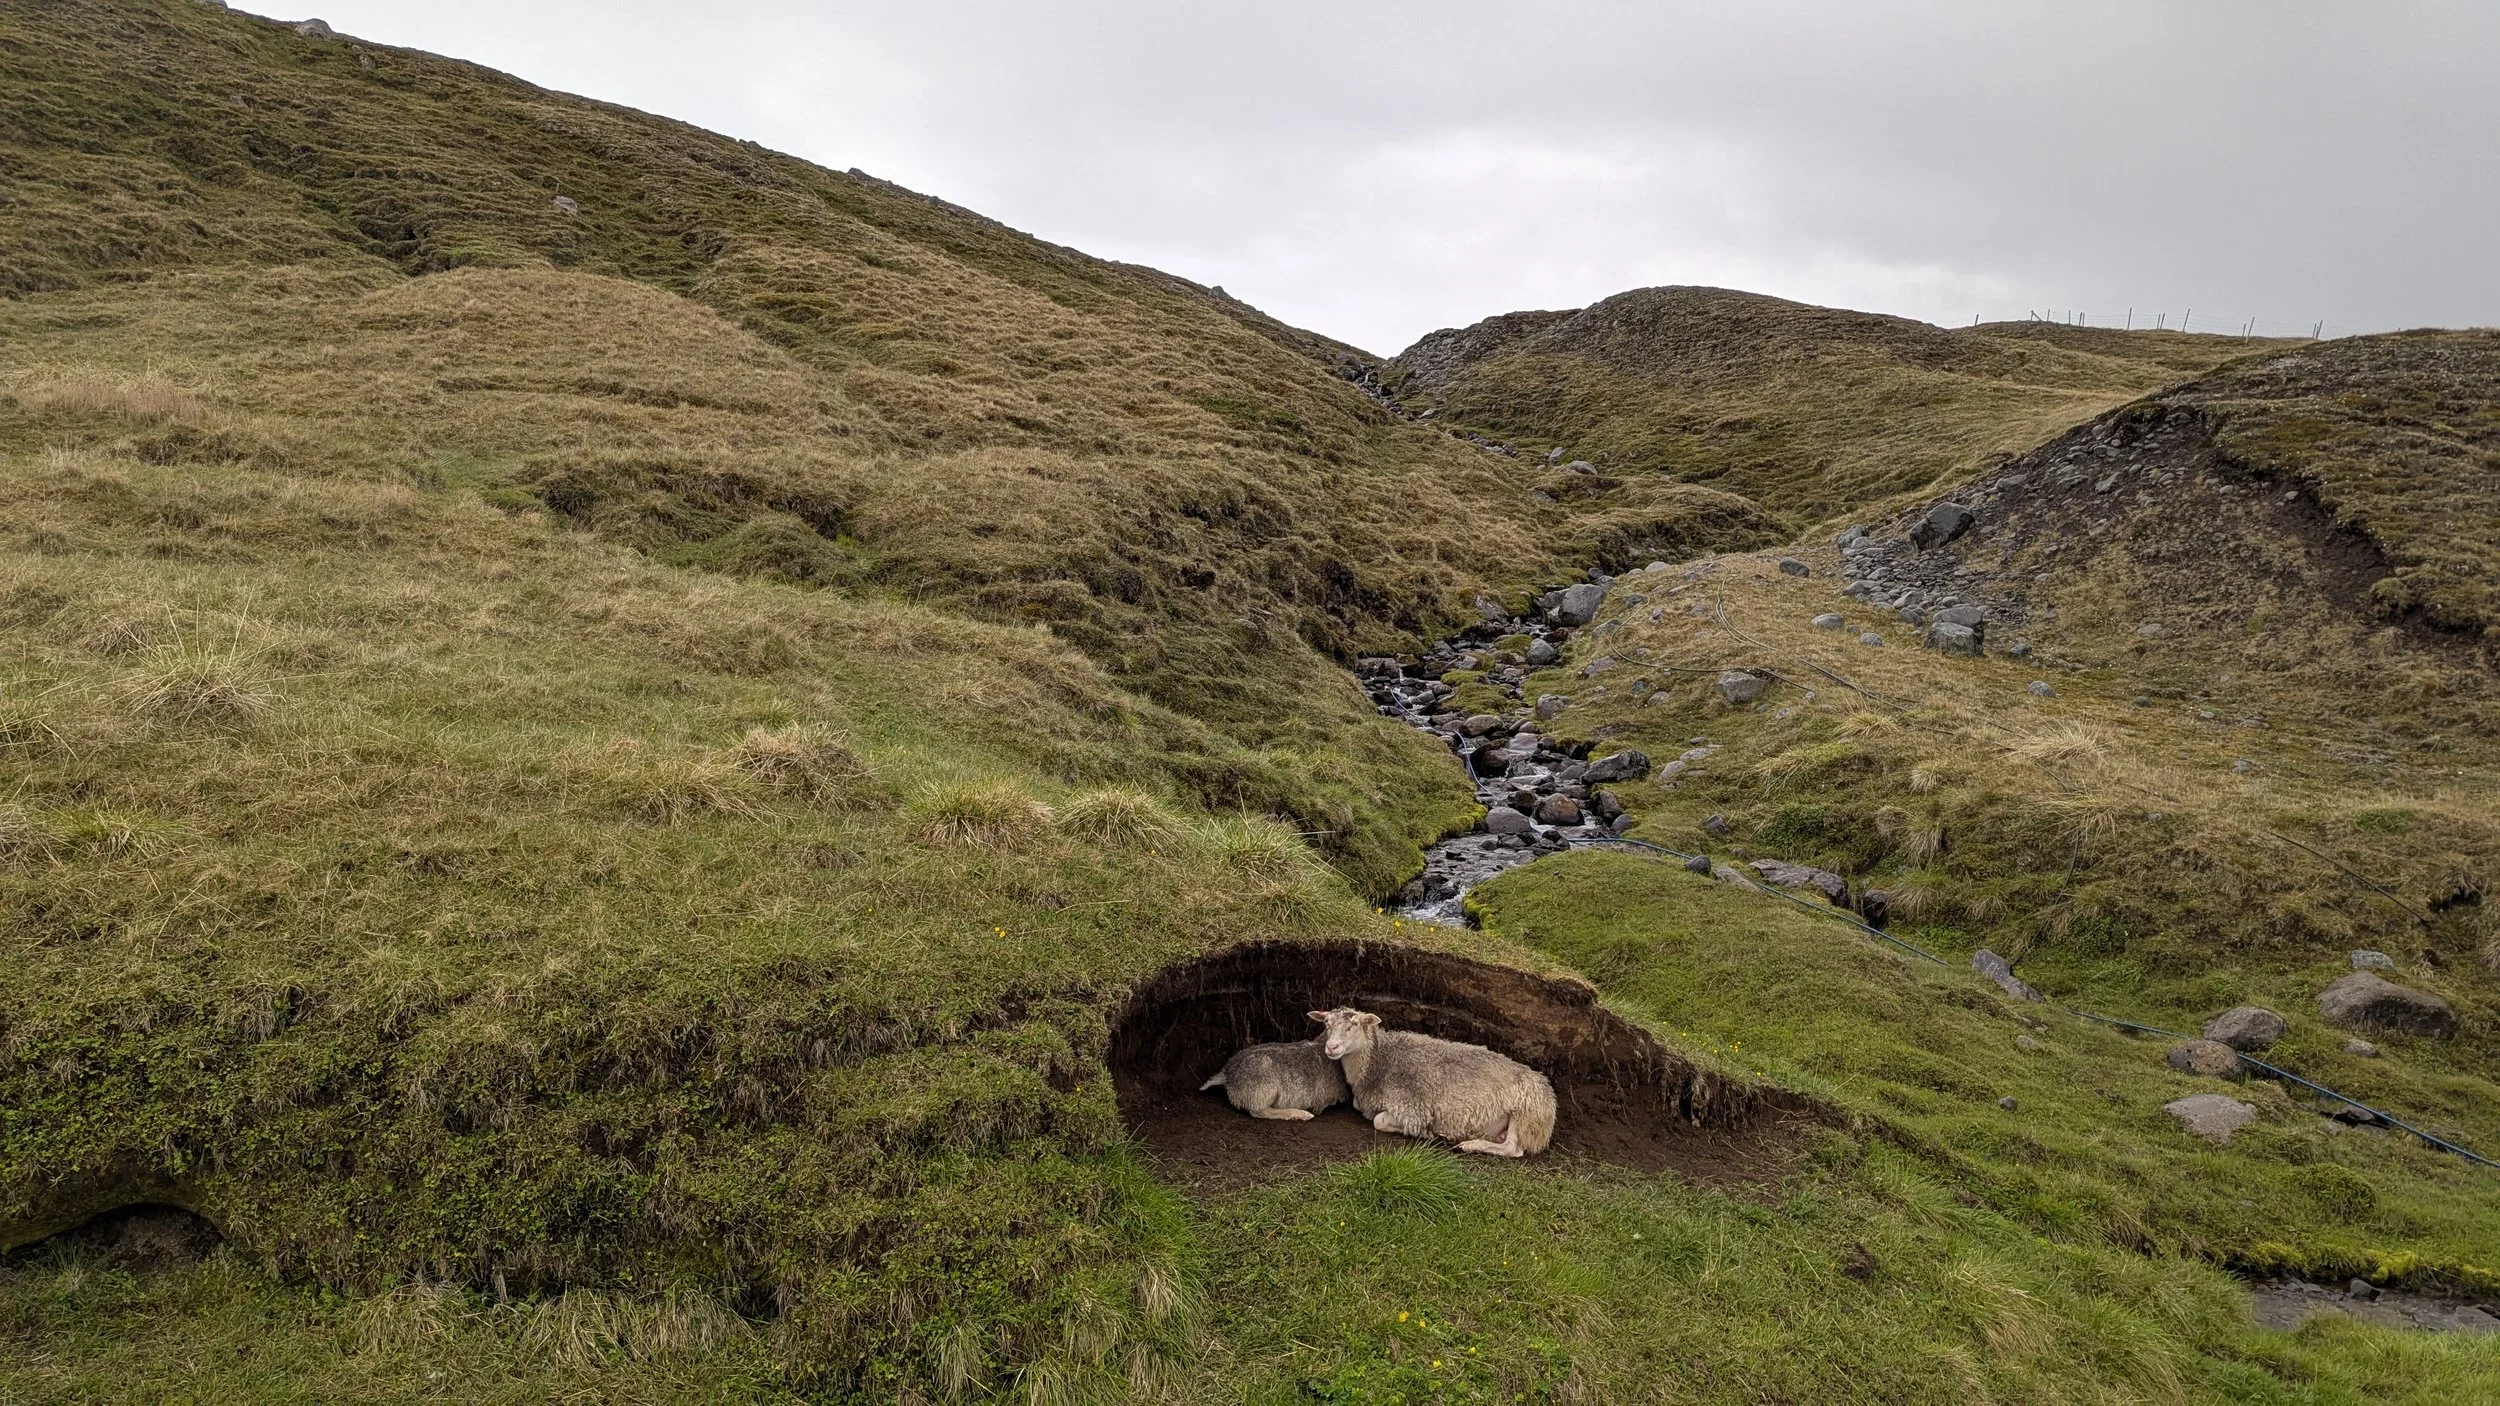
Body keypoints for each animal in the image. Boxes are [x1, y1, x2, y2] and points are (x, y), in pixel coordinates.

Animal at [1309, 1006, 1556, 1157]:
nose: (1331, 1047)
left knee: (1512, 1148)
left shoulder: (1413, 1108)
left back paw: (1468, 1145)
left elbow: (1379, 1121)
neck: (1379, 1062)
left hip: (1526, 1112)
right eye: (1327, 1023)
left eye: (1354, 1025)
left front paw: (1425, 1133)